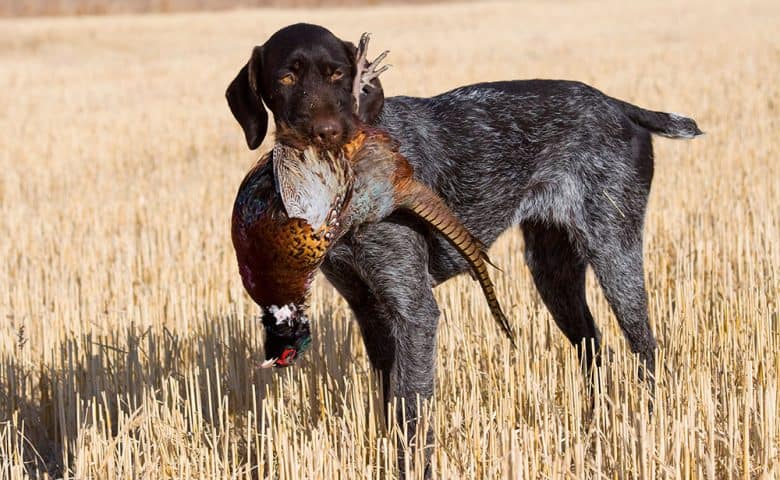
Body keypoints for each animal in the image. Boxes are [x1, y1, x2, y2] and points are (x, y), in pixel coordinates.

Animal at [224, 21, 700, 468]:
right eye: (287, 78)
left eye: (337, 73)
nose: (327, 133)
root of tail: (619, 106)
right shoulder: (369, 309)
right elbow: (391, 403)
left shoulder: (413, 311)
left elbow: (412, 410)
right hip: (553, 272)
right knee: (593, 348)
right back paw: (594, 426)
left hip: (615, 254)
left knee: (645, 350)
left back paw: (647, 426)